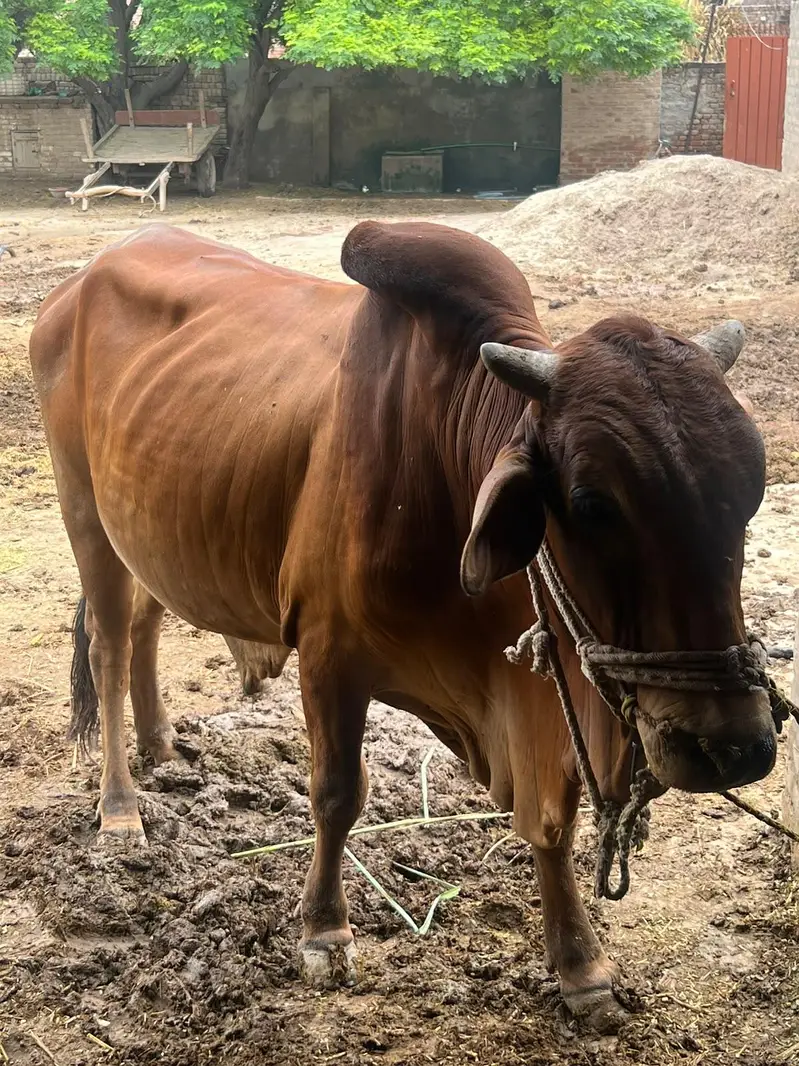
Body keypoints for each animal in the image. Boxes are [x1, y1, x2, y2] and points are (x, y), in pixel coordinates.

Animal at [29, 222, 775, 1030]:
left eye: (750, 492)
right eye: (589, 502)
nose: (731, 746)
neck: (440, 467)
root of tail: (80, 282)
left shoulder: (540, 687)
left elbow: (552, 819)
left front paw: (581, 964)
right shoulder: (328, 654)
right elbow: (336, 793)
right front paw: (324, 932)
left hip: (149, 526)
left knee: (145, 627)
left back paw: (163, 747)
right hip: (83, 510)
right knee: (107, 646)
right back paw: (120, 807)